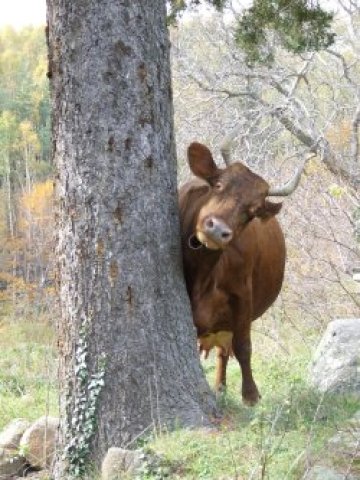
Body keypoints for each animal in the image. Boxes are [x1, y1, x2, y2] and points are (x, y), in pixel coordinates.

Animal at [179, 142, 306, 404]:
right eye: (218, 184)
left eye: (253, 211)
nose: (217, 229)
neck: (204, 273)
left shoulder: (242, 294)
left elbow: (243, 345)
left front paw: (250, 394)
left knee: (223, 351)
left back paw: (220, 387)